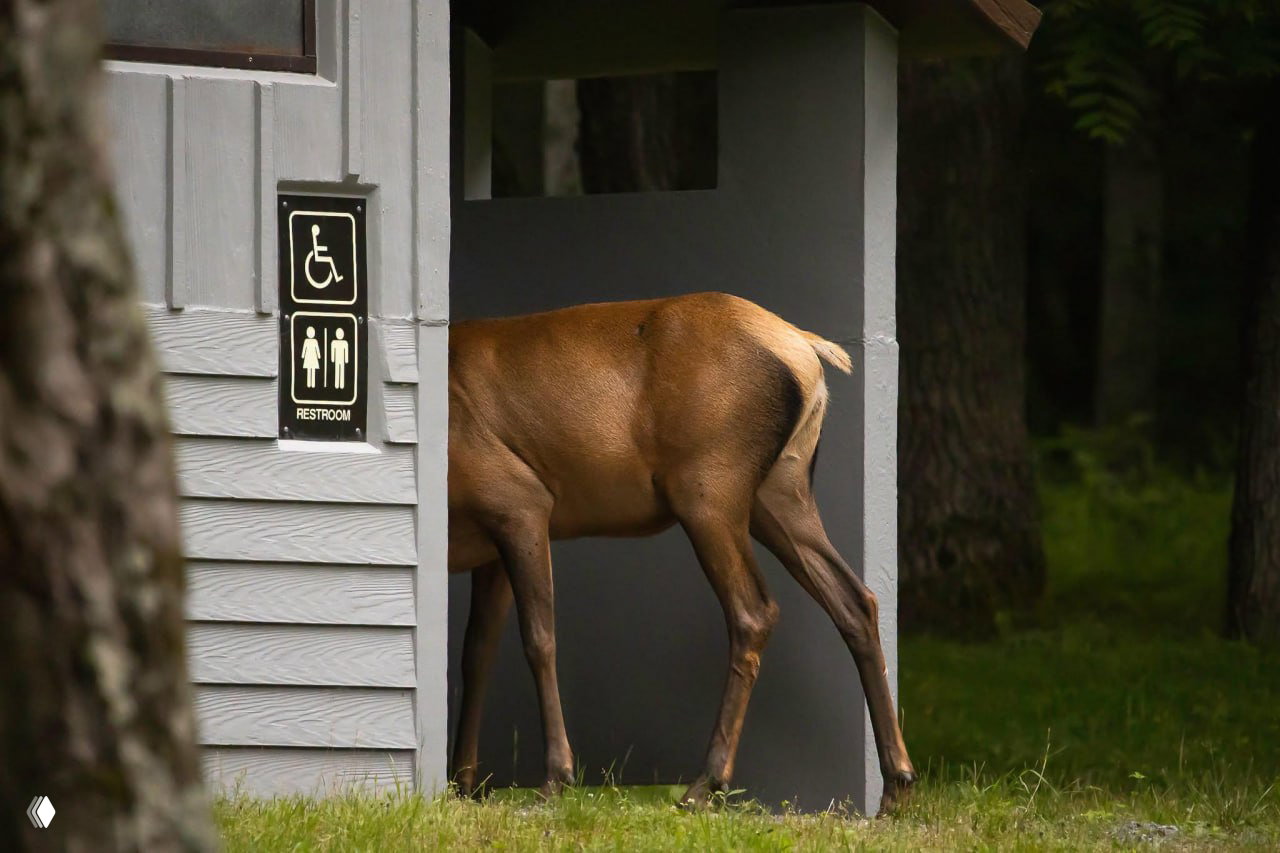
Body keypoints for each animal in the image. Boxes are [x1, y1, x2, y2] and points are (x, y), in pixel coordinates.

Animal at [446, 291, 917, 814]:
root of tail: (806, 351)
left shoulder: (518, 498)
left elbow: (538, 639)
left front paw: (555, 778)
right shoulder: (491, 545)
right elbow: (476, 653)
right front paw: (462, 783)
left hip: (708, 485)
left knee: (754, 610)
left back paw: (704, 784)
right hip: (781, 489)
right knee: (856, 600)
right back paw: (896, 785)